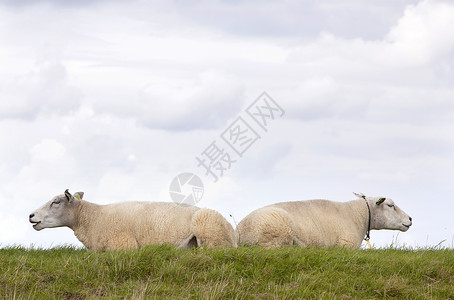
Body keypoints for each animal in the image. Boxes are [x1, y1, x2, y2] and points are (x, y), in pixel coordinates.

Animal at [236, 192, 414, 248]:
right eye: (390, 205)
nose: (410, 218)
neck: (359, 215)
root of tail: (238, 233)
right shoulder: (346, 245)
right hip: (277, 235)